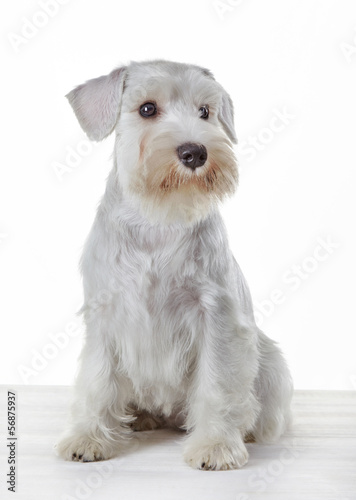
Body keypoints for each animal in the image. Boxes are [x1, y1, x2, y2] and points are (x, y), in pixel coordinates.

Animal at [57, 60, 294, 470]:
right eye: (147, 108)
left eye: (205, 111)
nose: (195, 152)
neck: (160, 219)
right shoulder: (105, 316)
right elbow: (98, 382)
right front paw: (88, 438)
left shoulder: (215, 317)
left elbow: (217, 384)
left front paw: (215, 446)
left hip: (272, 365)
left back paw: (245, 429)